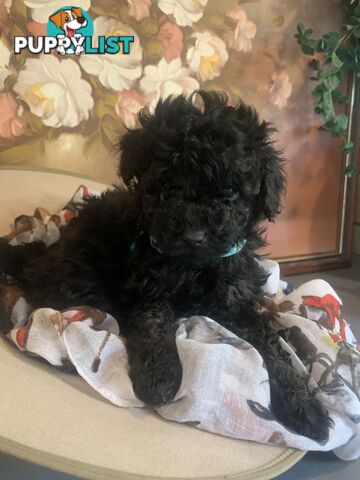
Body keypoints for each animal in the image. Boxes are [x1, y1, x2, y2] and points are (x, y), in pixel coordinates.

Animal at [0, 90, 332, 442]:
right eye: (167, 187)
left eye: (230, 191)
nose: (194, 236)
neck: (194, 266)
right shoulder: (149, 286)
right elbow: (154, 323)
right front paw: (160, 377)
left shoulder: (237, 300)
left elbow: (272, 347)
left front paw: (303, 405)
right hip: (80, 275)